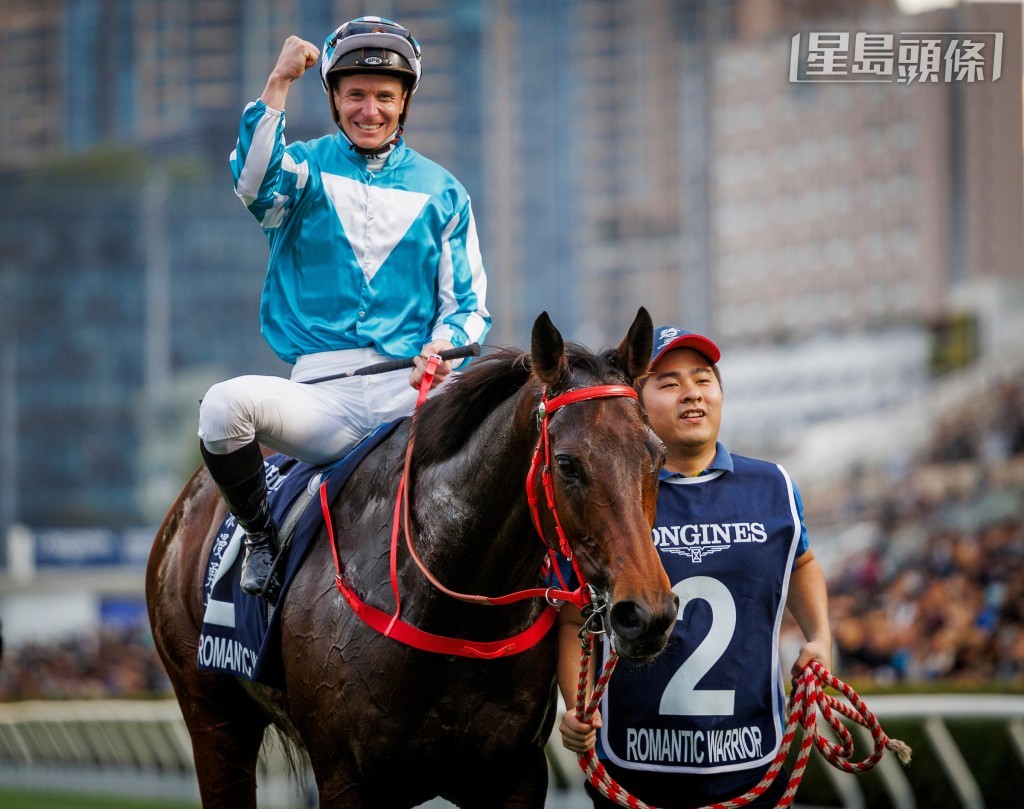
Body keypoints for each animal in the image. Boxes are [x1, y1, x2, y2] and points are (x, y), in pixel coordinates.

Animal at [146, 308, 678, 808]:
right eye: (567, 464)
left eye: (657, 455)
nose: (647, 613)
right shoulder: (347, 777)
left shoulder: (515, 775)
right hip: (210, 711)